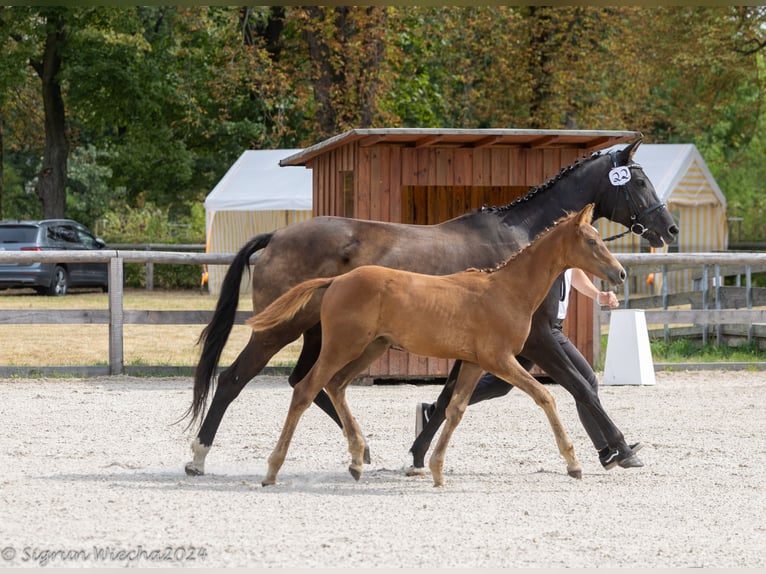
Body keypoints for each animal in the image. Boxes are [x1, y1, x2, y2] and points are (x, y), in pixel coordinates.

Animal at [249, 205, 628, 488]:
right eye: (591, 241)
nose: (620, 273)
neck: (506, 290)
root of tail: (336, 281)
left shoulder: (475, 362)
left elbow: (455, 409)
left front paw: (435, 469)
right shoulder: (500, 359)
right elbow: (545, 396)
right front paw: (574, 463)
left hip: (371, 347)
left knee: (336, 385)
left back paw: (357, 460)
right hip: (341, 346)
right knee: (306, 389)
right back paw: (272, 470)